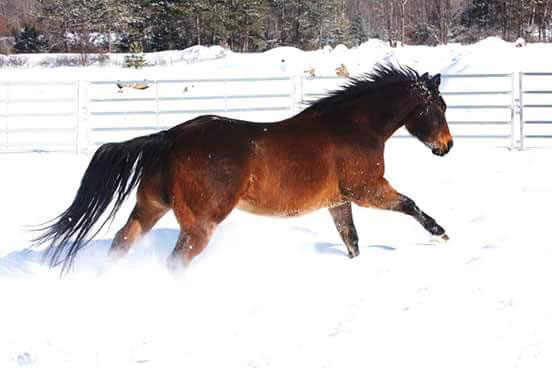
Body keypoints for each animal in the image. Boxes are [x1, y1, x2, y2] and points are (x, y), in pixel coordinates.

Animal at [35, 63, 452, 274]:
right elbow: (411, 205)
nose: (447, 147)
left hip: (150, 207)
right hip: (200, 223)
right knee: (176, 261)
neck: (353, 128)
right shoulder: (368, 190)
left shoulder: (338, 201)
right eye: (439, 107)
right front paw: (442, 234)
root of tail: (171, 137)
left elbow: (351, 241)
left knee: (122, 243)